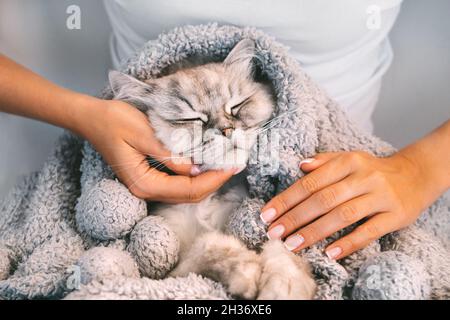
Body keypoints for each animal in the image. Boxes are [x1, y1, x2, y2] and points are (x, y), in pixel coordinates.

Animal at [108, 38, 316, 298]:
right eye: (191, 119)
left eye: (237, 106)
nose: (227, 130)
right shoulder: (171, 274)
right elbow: (210, 245)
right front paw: (246, 272)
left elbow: (283, 247)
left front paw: (285, 286)